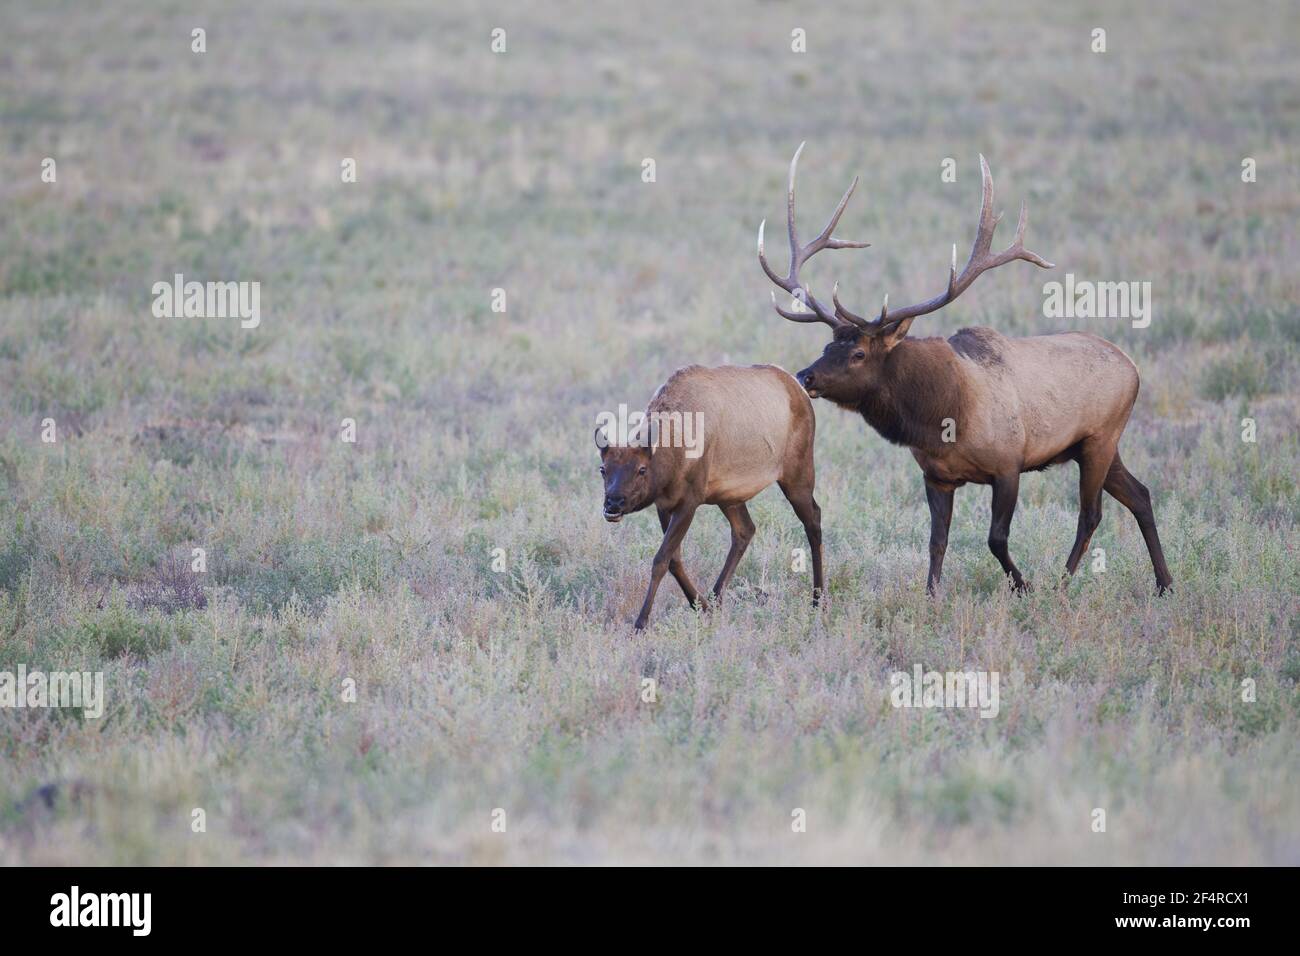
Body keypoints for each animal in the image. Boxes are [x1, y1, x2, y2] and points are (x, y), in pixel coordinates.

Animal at [598, 364, 821, 629]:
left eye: (641, 469)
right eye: (603, 469)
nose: (613, 504)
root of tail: (799, 389)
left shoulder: (689, 501)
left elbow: (661, 559)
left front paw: (640, 623)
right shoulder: (664, 504)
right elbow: (674, 559)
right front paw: (701, 606)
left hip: (798, 474)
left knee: (813, 520)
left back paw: (818, 600)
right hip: (730, 497)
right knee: (745, 530)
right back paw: (716, 600)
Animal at [759, 143, 1175, 595]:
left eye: (859, 355)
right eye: (827, 345)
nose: (806, 376)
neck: (942, 418)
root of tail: (1133, 367)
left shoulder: (1009, 464)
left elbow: (996, 538)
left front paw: (1024, 587)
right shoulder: (936, 476)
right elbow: (936, 541)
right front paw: (931, 595)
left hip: (1101, 437)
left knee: (1092, 512)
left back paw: (1061, 584)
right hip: (1097, 446)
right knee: (1140, 494)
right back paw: (1165, 583)